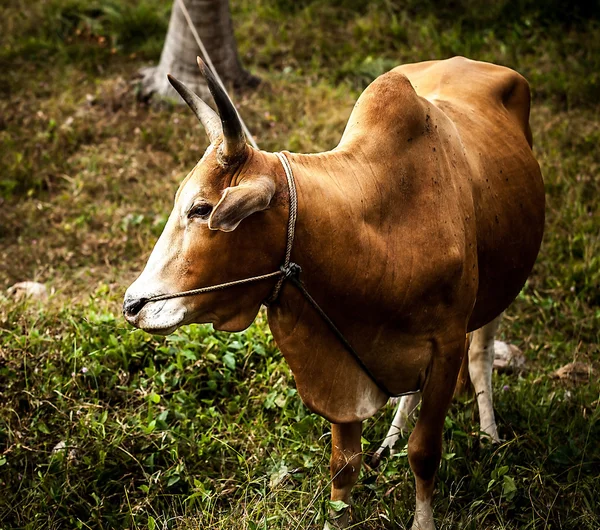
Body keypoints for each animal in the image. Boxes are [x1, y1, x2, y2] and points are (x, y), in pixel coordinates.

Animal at [124, 55, 548, 524]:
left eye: (201, 209)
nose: (133, 304)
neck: (377, 234)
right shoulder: (340, 354)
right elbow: (344, 465)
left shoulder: (446, 347)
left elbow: (425, 453)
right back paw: (391, 440)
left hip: (501, 285)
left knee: (482, 354)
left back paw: (490, 436)